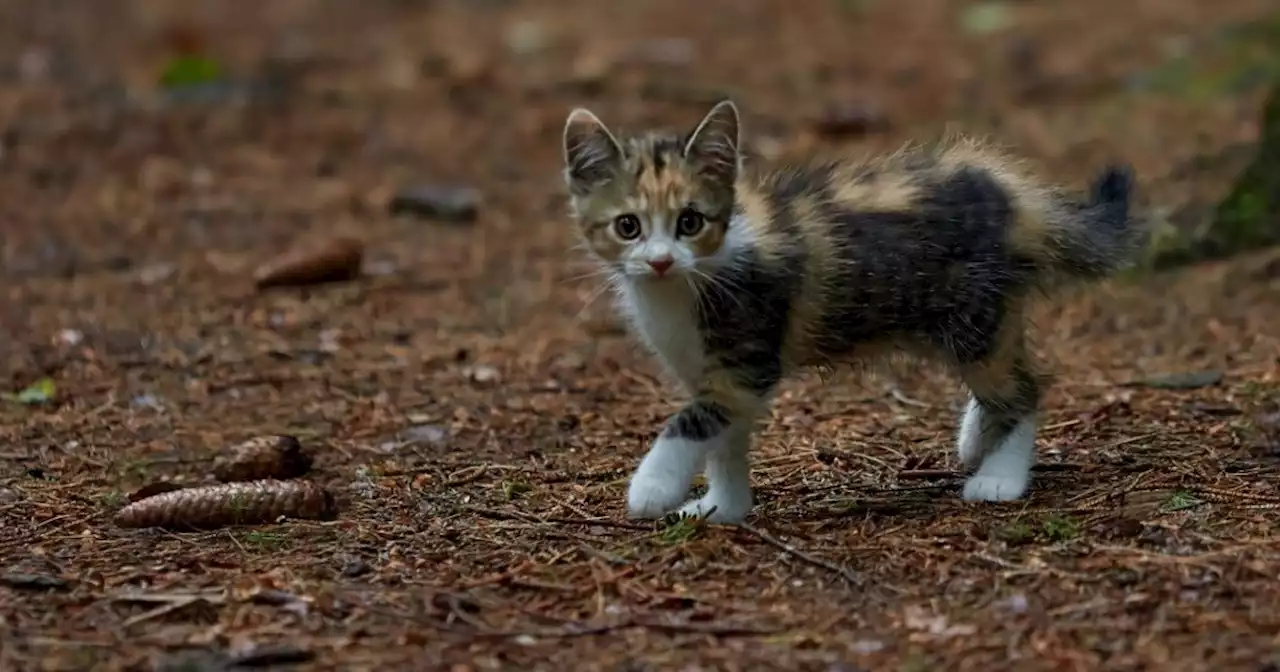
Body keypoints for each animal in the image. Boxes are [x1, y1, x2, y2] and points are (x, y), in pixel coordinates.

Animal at [560, 98, 1141, 524]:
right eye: (628, 226)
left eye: (690, 221)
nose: (659, 261)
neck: (685, 284)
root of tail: (1017, 196)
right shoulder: (717, 373)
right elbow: (725, 438)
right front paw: (723, 508)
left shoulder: (746, 358)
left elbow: (692, 421)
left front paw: (651, 488)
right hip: (986, 314)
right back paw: (977, 437)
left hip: (974, 316)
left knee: (1023, 389)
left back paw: (1000, 478)